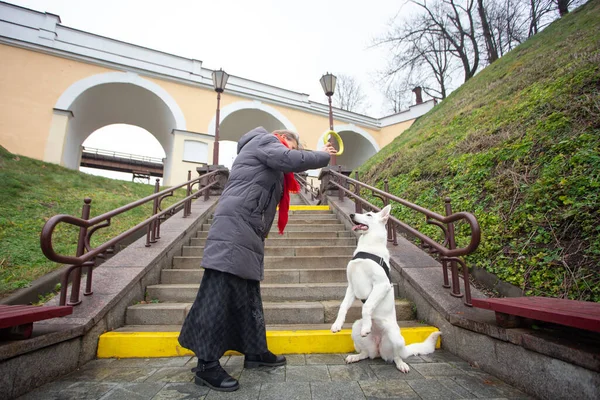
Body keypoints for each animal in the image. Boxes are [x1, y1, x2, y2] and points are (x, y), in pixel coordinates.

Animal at [330, 205, 438, 374]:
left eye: (369, 214)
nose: (352, 214)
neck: (368, 246)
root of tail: (379, 348)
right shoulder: (351, 287)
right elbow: (343, 307)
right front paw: (337, 324)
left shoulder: (382, 285)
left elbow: (367, 306)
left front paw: (367, 326)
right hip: (355, 329)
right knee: (366, 353)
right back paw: (356, 356)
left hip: (396, 339)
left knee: (396, 356)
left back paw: (401, 364)